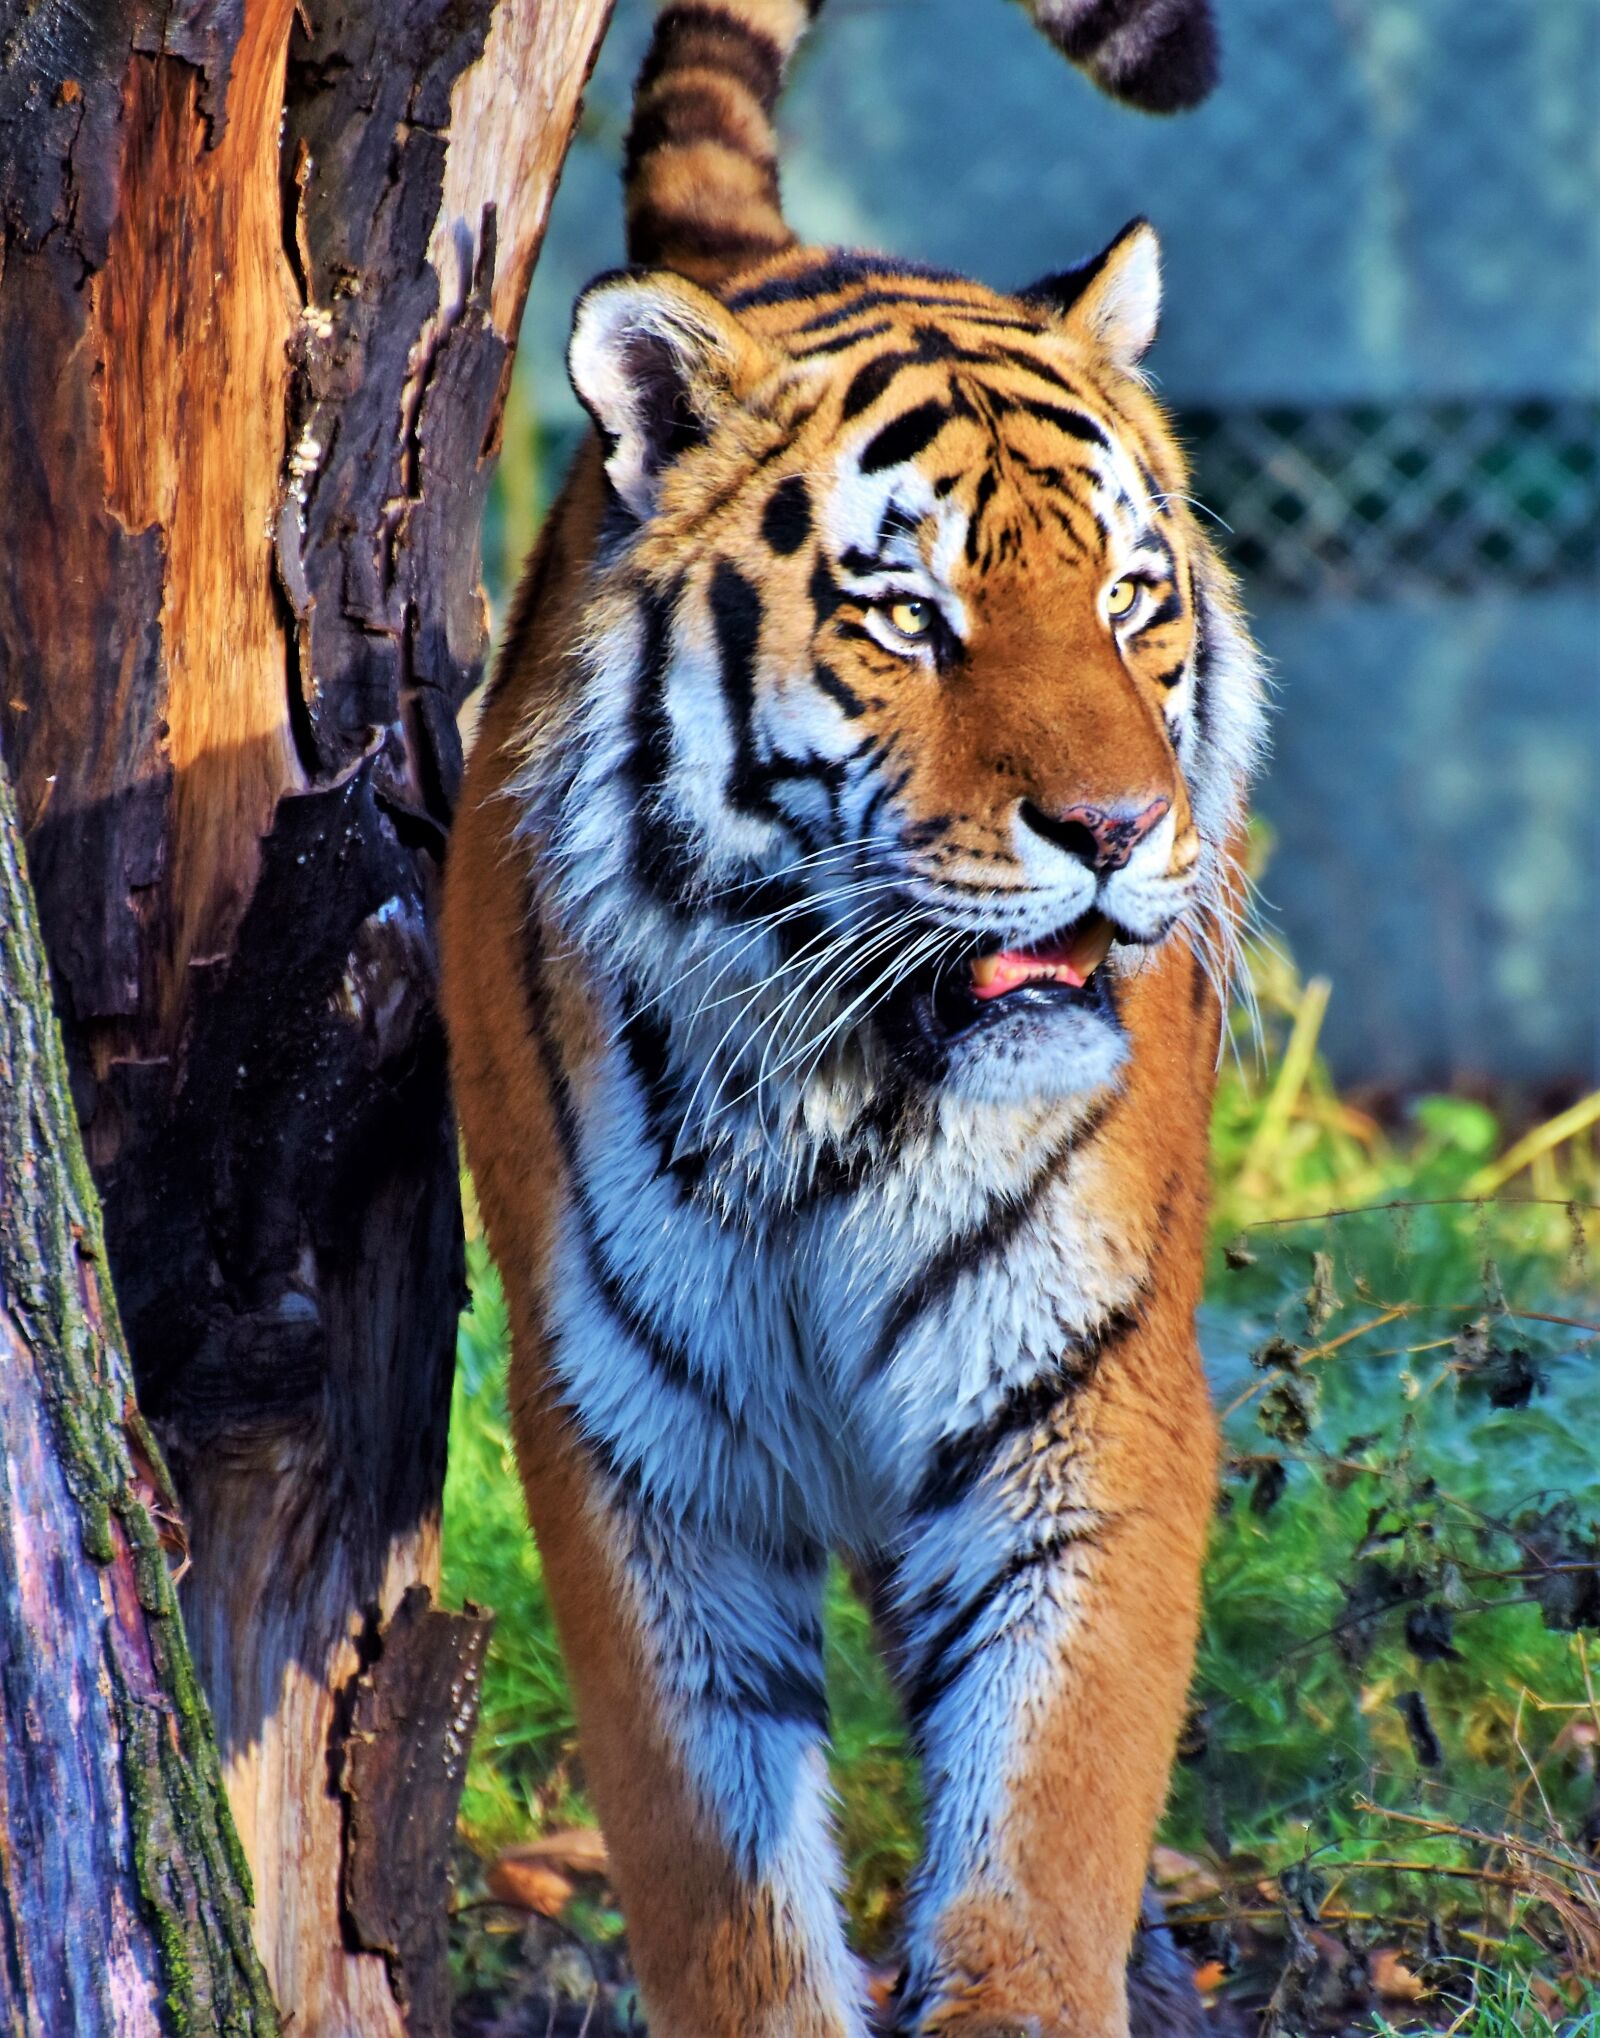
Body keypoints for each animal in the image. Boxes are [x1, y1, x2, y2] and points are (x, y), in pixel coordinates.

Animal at [442, 1, 1266, 2033]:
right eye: (909, 617)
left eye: (1131, 601)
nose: (1119, 830)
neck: (844, 1084)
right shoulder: (638, 1447)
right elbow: (716, 1880)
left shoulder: (1083, 1409)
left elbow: (1044, 1838)